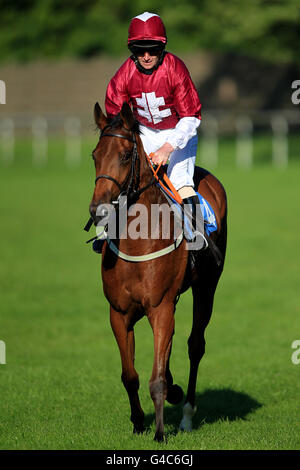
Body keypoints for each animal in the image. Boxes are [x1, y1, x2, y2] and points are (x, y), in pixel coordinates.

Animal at [88, 101, 226, 442]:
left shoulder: (160, 307)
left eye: (126, 155)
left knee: (195, 345)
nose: (98, 210)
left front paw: (161, 431)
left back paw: (187, 414)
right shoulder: (119, 312)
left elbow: (157, 379)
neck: (138, 241)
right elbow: (130, 375)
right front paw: (139, 422)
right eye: (95, 155)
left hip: (207, 286)